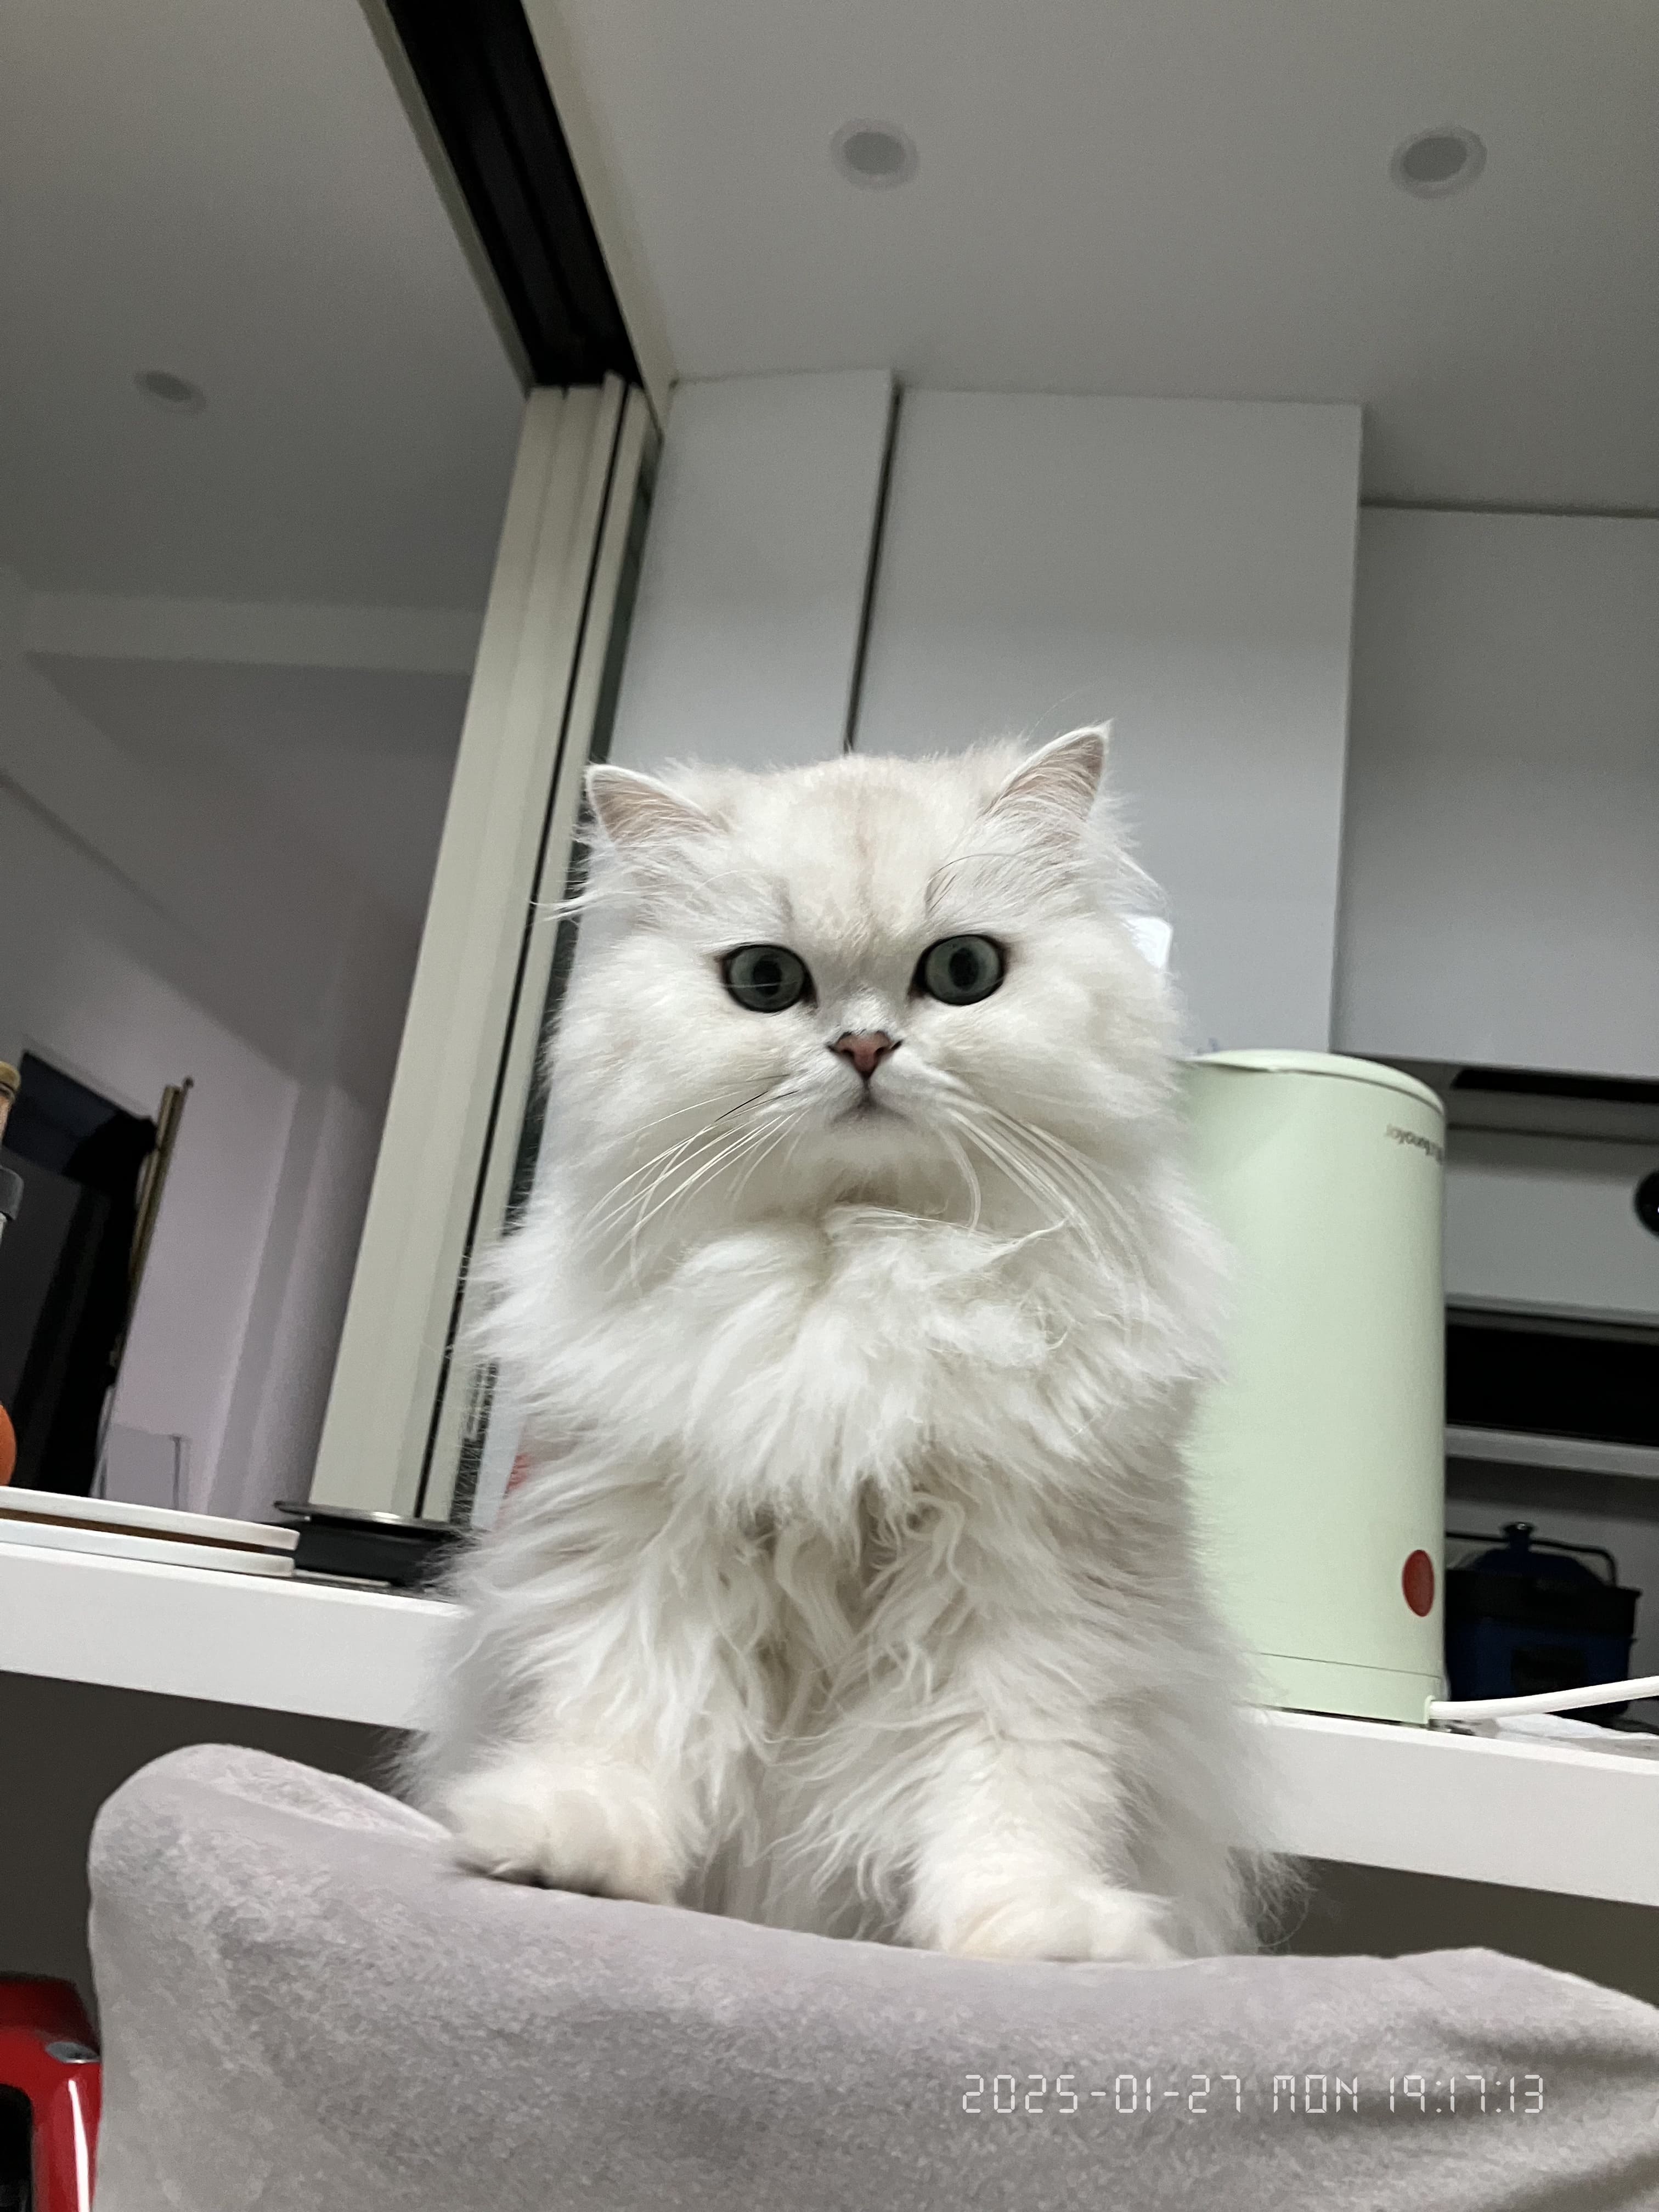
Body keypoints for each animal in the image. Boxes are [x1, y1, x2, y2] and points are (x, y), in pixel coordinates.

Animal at [413, 726, 1265, 1961]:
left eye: (962, 972)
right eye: (765, 982)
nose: (864, 1044)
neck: (856, 1263)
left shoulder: (1033, 1589)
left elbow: (1014, 1782)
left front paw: (1037, 1929)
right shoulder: (651, 1549)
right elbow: (628, 1711)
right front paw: (573, 1849)